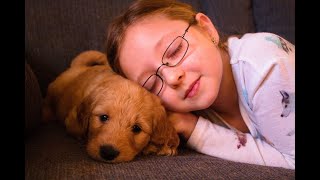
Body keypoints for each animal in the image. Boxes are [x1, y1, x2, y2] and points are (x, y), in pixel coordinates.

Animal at [42, 50, 180, 162]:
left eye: (136, 128)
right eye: (103, 117)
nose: (108, 153)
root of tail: (79, 66)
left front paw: (162, 146)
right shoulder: (71, 120)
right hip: (55, 89)